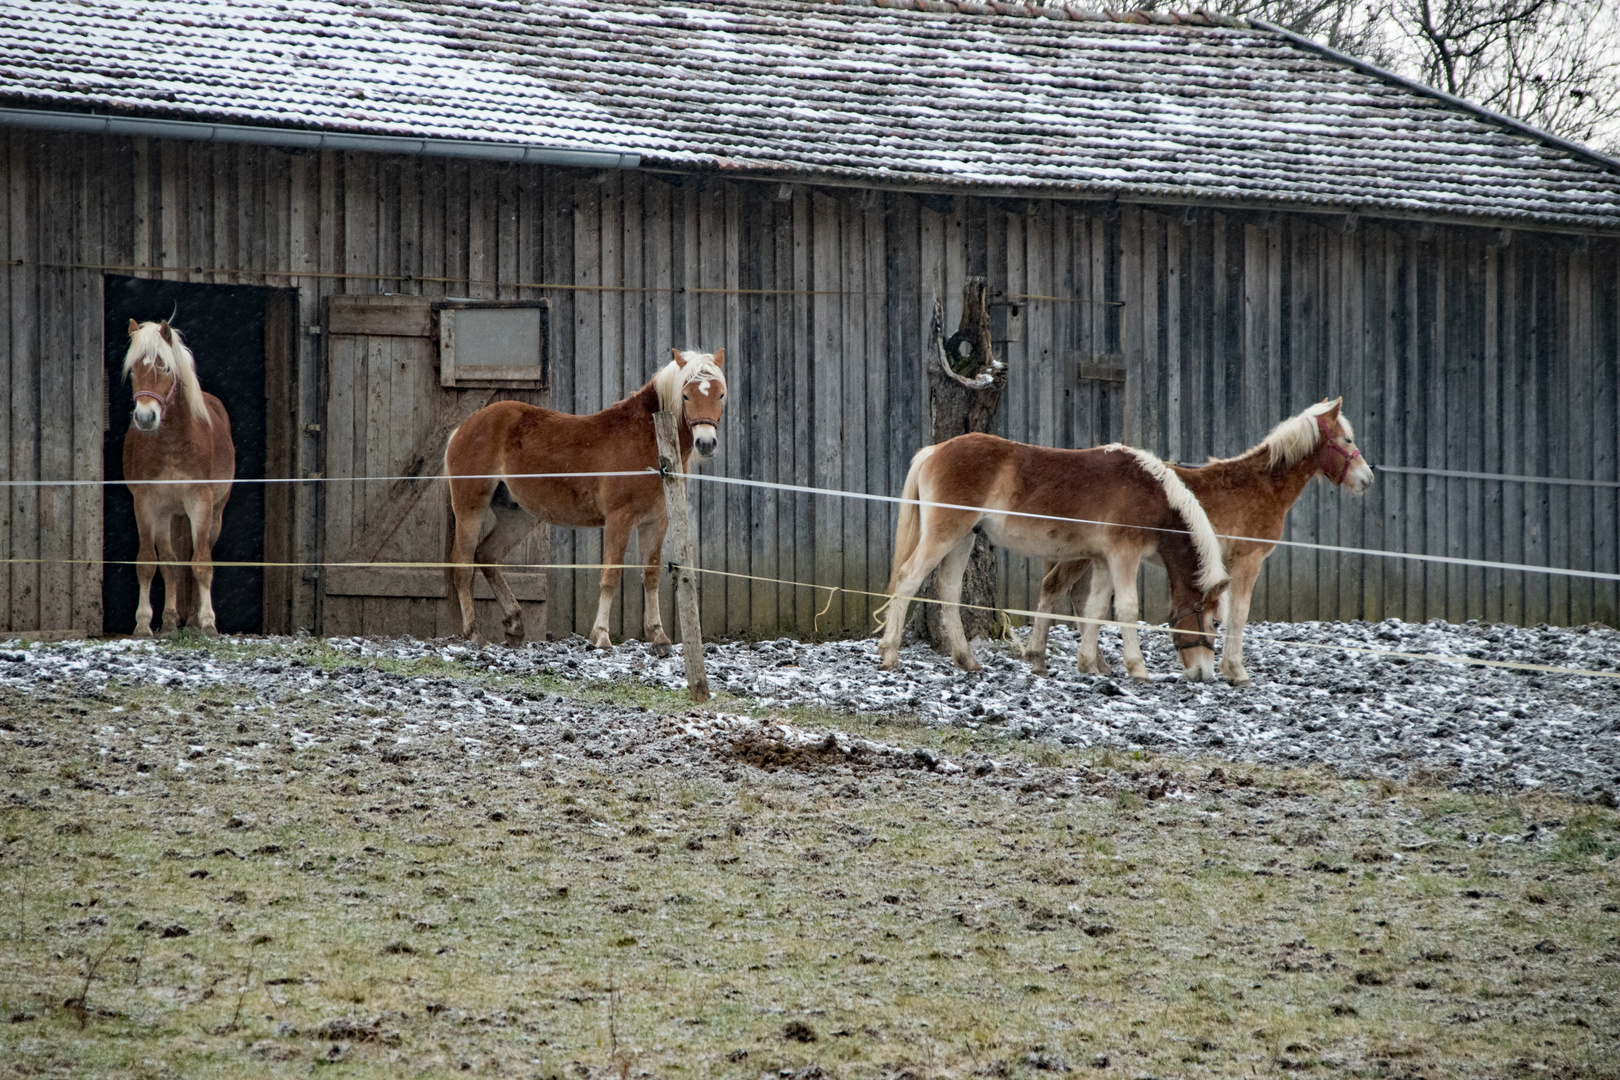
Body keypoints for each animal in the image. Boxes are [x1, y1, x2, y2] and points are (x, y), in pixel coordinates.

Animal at [119, 317, 236, 637]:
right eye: (133, 370)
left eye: (166, 369)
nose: (145, 417)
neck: (172, 442)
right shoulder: (146, 504)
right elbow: (149, 562)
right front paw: (144, 624)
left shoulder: (200, 502)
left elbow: (201, 563)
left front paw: (208, 623)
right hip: (167, 515)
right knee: (170, 563)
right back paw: (171, 621)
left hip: (214, 512)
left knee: (200, 552)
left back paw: (195, 620)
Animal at [440, 351, 725, 647]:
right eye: (686, 395)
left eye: (720, 394)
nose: (706, 442)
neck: (646, 440)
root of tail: (463, 428)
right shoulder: (619, 519)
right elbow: (611, 575)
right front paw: (601, 636)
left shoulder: (656, 522)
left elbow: (651, 575)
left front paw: (659, 636)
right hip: (471, 506)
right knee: (463, 563)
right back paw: (474, 632)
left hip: (519, 516)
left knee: (487, 556)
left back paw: (515, 623)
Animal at [881, 433, 1231, 680]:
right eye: (1214, 622)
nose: (1204, 674)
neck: (1151, 492)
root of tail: (934, 451)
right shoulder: (1124, 555)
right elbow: (1127, 608)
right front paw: (1138, 669)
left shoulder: (1103, 560)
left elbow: (1095, 610)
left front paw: (1088, 665)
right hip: (946, 533)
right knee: (909, 578)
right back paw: (889, 654)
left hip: (964, 536)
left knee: (950, 590)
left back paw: (967, 660)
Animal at [1030, 396, 1373, 683]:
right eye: (1347, 439)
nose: (1367, 479)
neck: (1259, 487)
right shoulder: (1248, 560)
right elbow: (1239, 614)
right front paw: (1236, 671)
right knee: (1055, 589)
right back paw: (1044, 659)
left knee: (1073, 598)